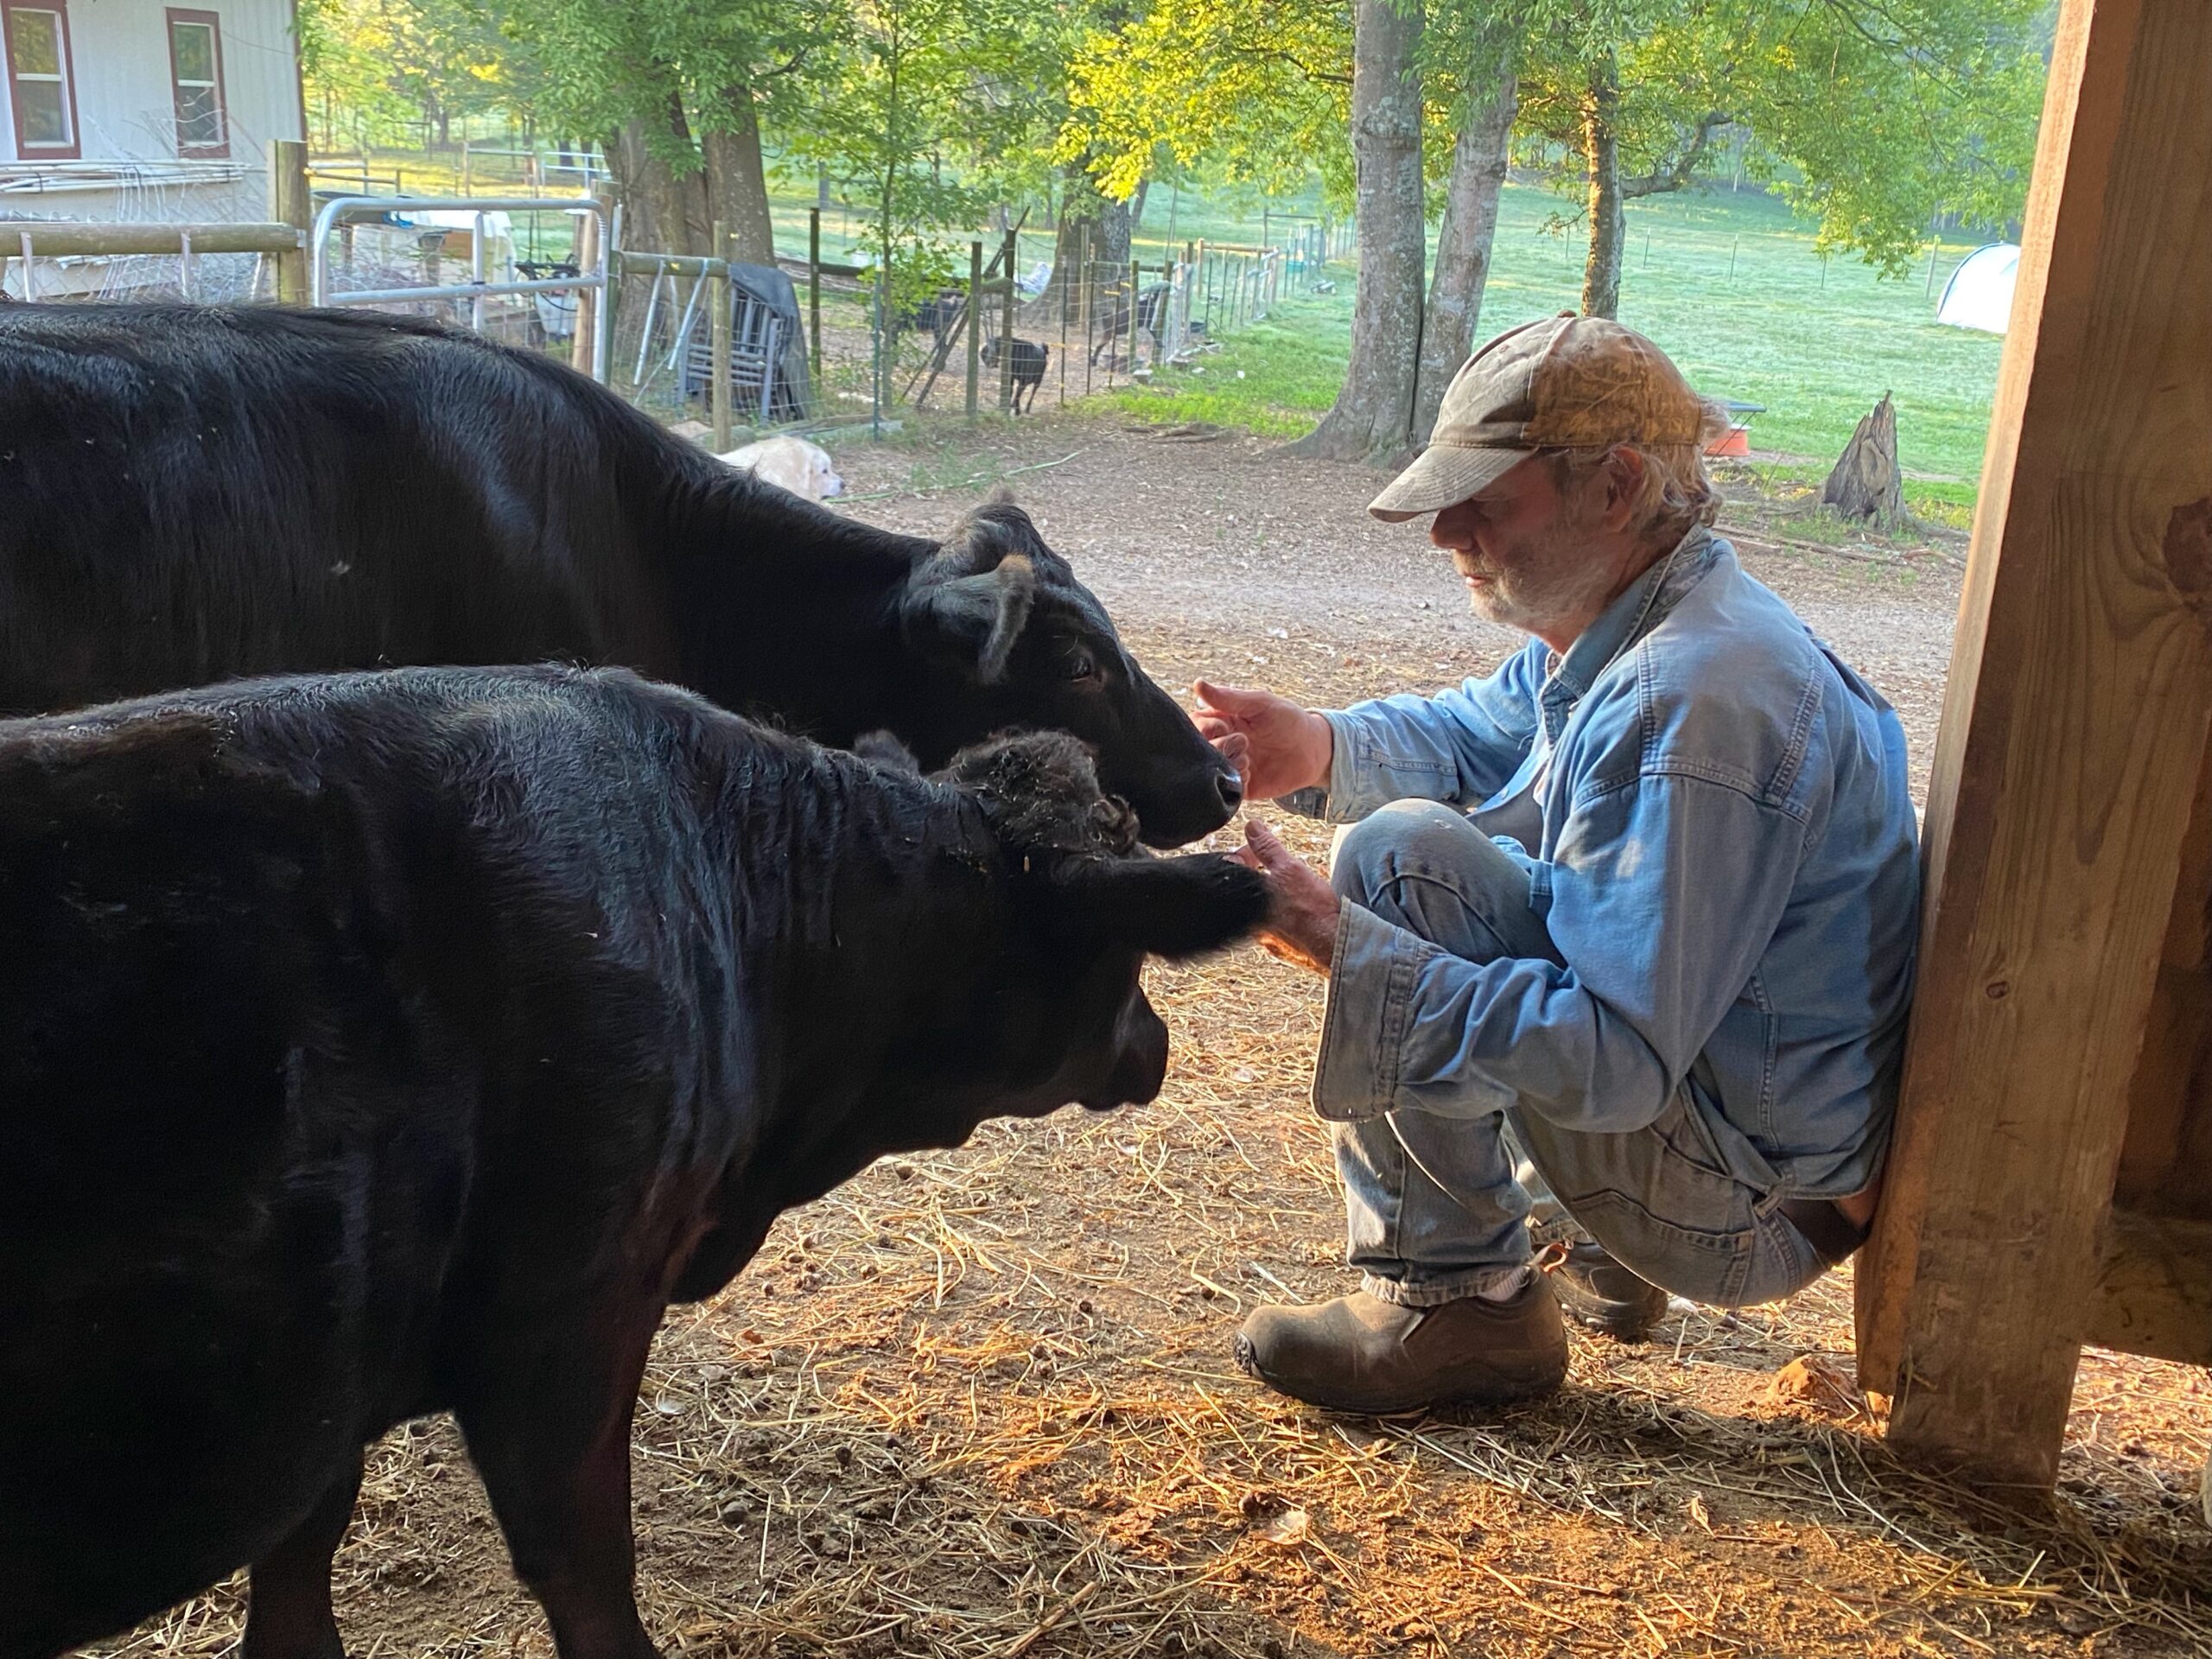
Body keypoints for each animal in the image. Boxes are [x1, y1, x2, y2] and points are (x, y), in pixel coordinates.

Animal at [0, 663, 1269, 1659]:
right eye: (1122, 947)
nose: (1158, 1045)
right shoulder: (571, 1314)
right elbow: (587, 1574)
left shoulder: (332, 1381)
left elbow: (303, 1564)